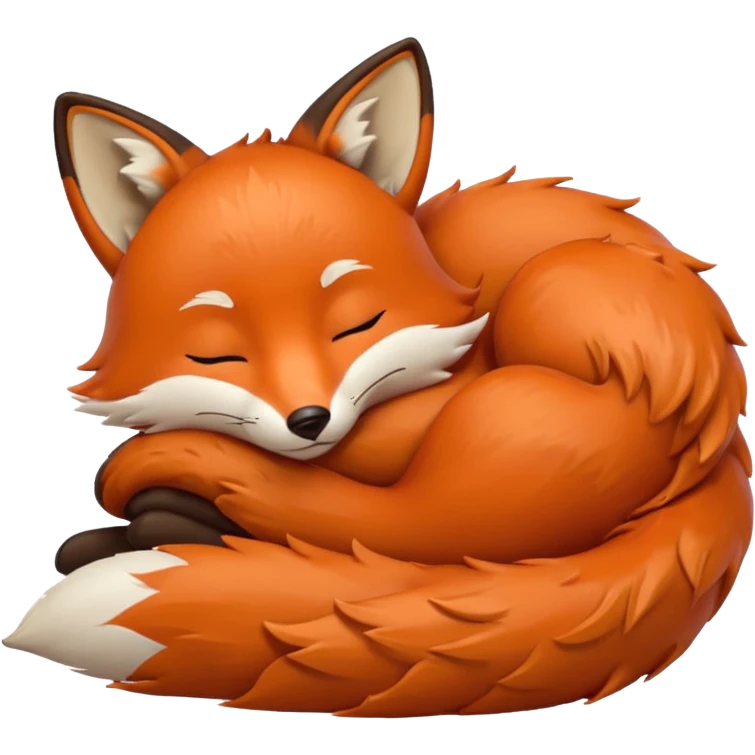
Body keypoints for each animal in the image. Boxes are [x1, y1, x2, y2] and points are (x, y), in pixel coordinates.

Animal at [8, 37, 752, 717]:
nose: (308, 420)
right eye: (217, 354)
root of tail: (717, 443)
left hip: (546, 324)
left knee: (412, 532)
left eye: (355, 324)